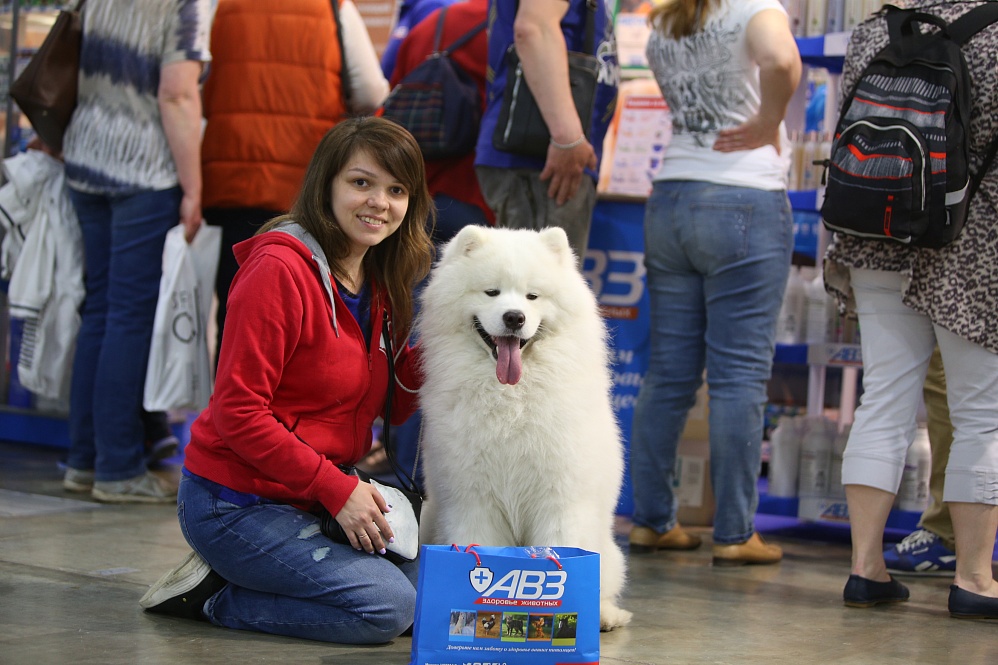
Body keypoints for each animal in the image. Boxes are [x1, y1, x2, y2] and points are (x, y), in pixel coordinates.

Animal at [414, 223, 632, 628]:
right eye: (491, 292)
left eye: (533, 296)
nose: (514, 317)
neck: (511, 398)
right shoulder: (474, 501)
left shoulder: (559, 500)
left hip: (610, 553)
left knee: (607, 586)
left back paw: (606, 616)